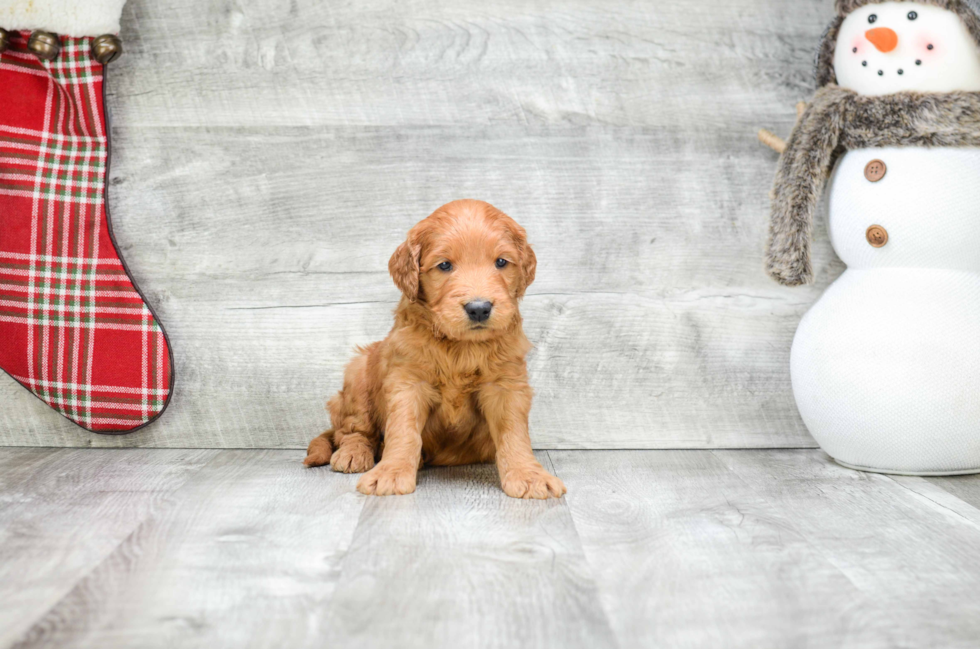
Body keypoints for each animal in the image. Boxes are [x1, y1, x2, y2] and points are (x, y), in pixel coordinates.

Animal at [306, 197, 568, 496]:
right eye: (444, 266)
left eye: (501, 262)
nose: (479, 308)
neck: (461, 347)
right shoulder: (408, 382)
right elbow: (403, 431)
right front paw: (391, 472)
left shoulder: (507, 385)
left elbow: (513, 432)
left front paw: (528, 475)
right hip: (358, 374)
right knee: (352, 430)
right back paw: (354, 454)